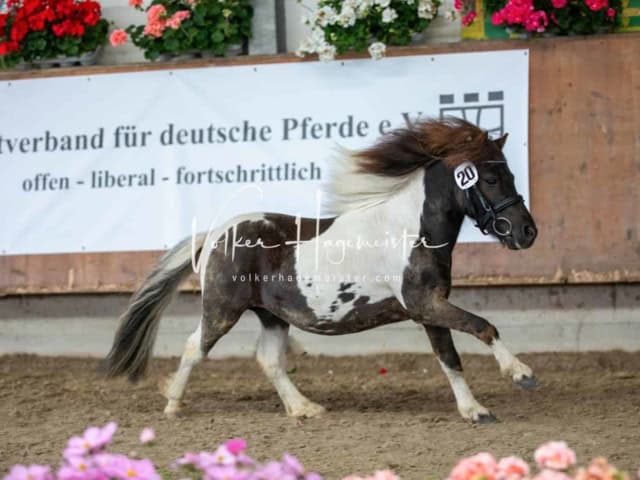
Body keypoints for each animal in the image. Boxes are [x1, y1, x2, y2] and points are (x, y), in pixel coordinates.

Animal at [102, 117, 536, 424]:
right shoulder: (424, 304)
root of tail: (217, 232)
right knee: (196, 347)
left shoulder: (430, 307)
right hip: (223, 308)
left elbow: (450, 358)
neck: (410, 228)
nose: (527, 232)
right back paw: (173, 405)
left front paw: (475, 410)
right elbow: (483, 326)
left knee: (269, 361)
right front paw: (521, 374)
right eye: (491, 178)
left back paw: (304, 408)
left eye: (511, 175)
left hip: (272, 315)